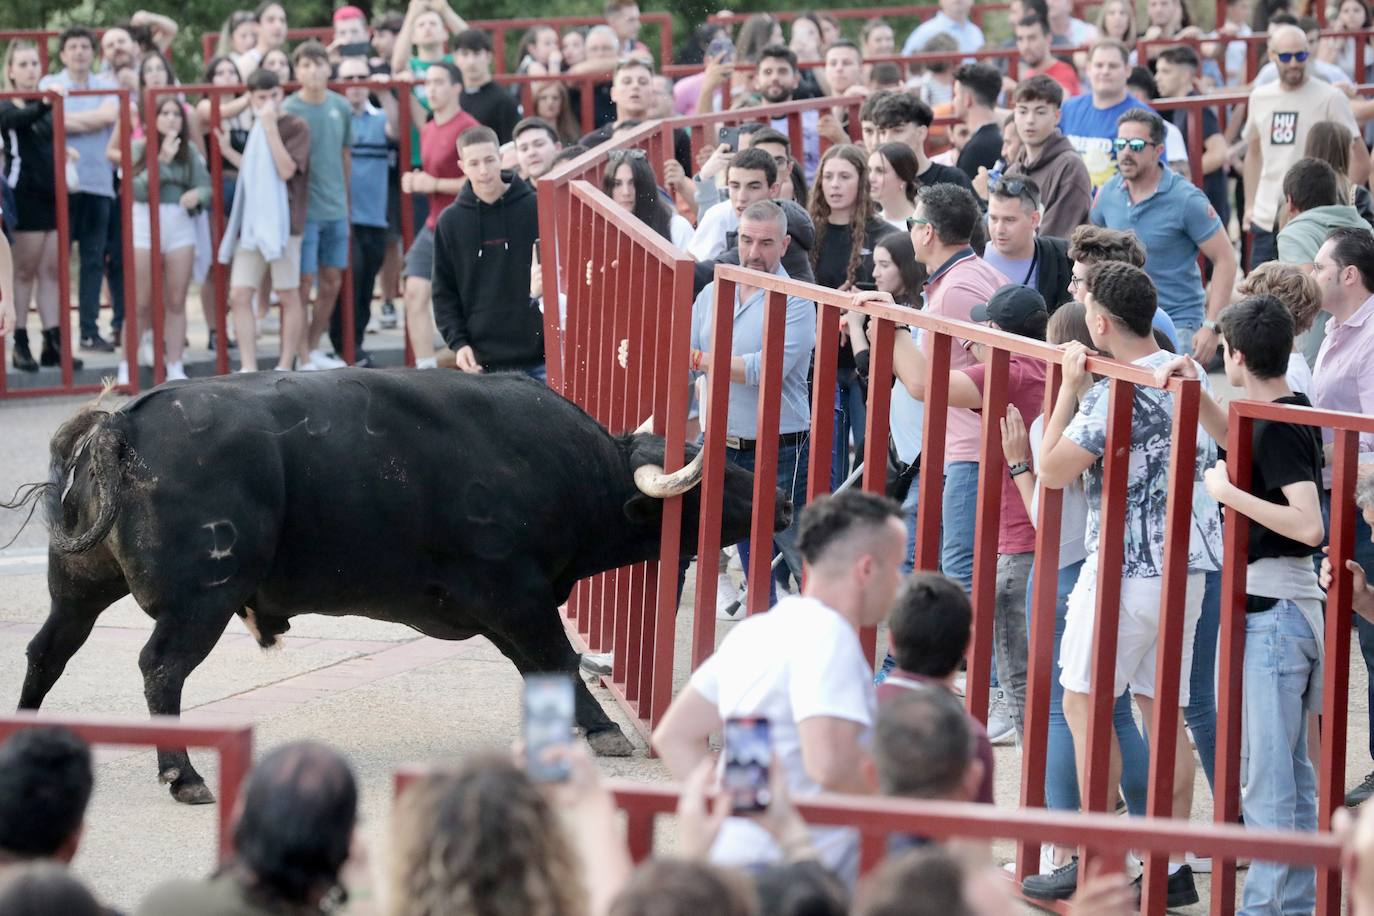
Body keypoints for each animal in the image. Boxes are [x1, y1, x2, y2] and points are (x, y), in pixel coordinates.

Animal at [10, 368, 791, 807]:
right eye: (711, 483)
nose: (782, 499)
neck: (566, 469)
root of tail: (119, 425)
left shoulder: (504, 608)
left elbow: (544, 667)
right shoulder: (517, 594)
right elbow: (558, 659)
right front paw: (603, 731)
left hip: (77, 586)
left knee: (48, 650)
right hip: (200, 601)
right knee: (160, 670)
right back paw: (183, 774)